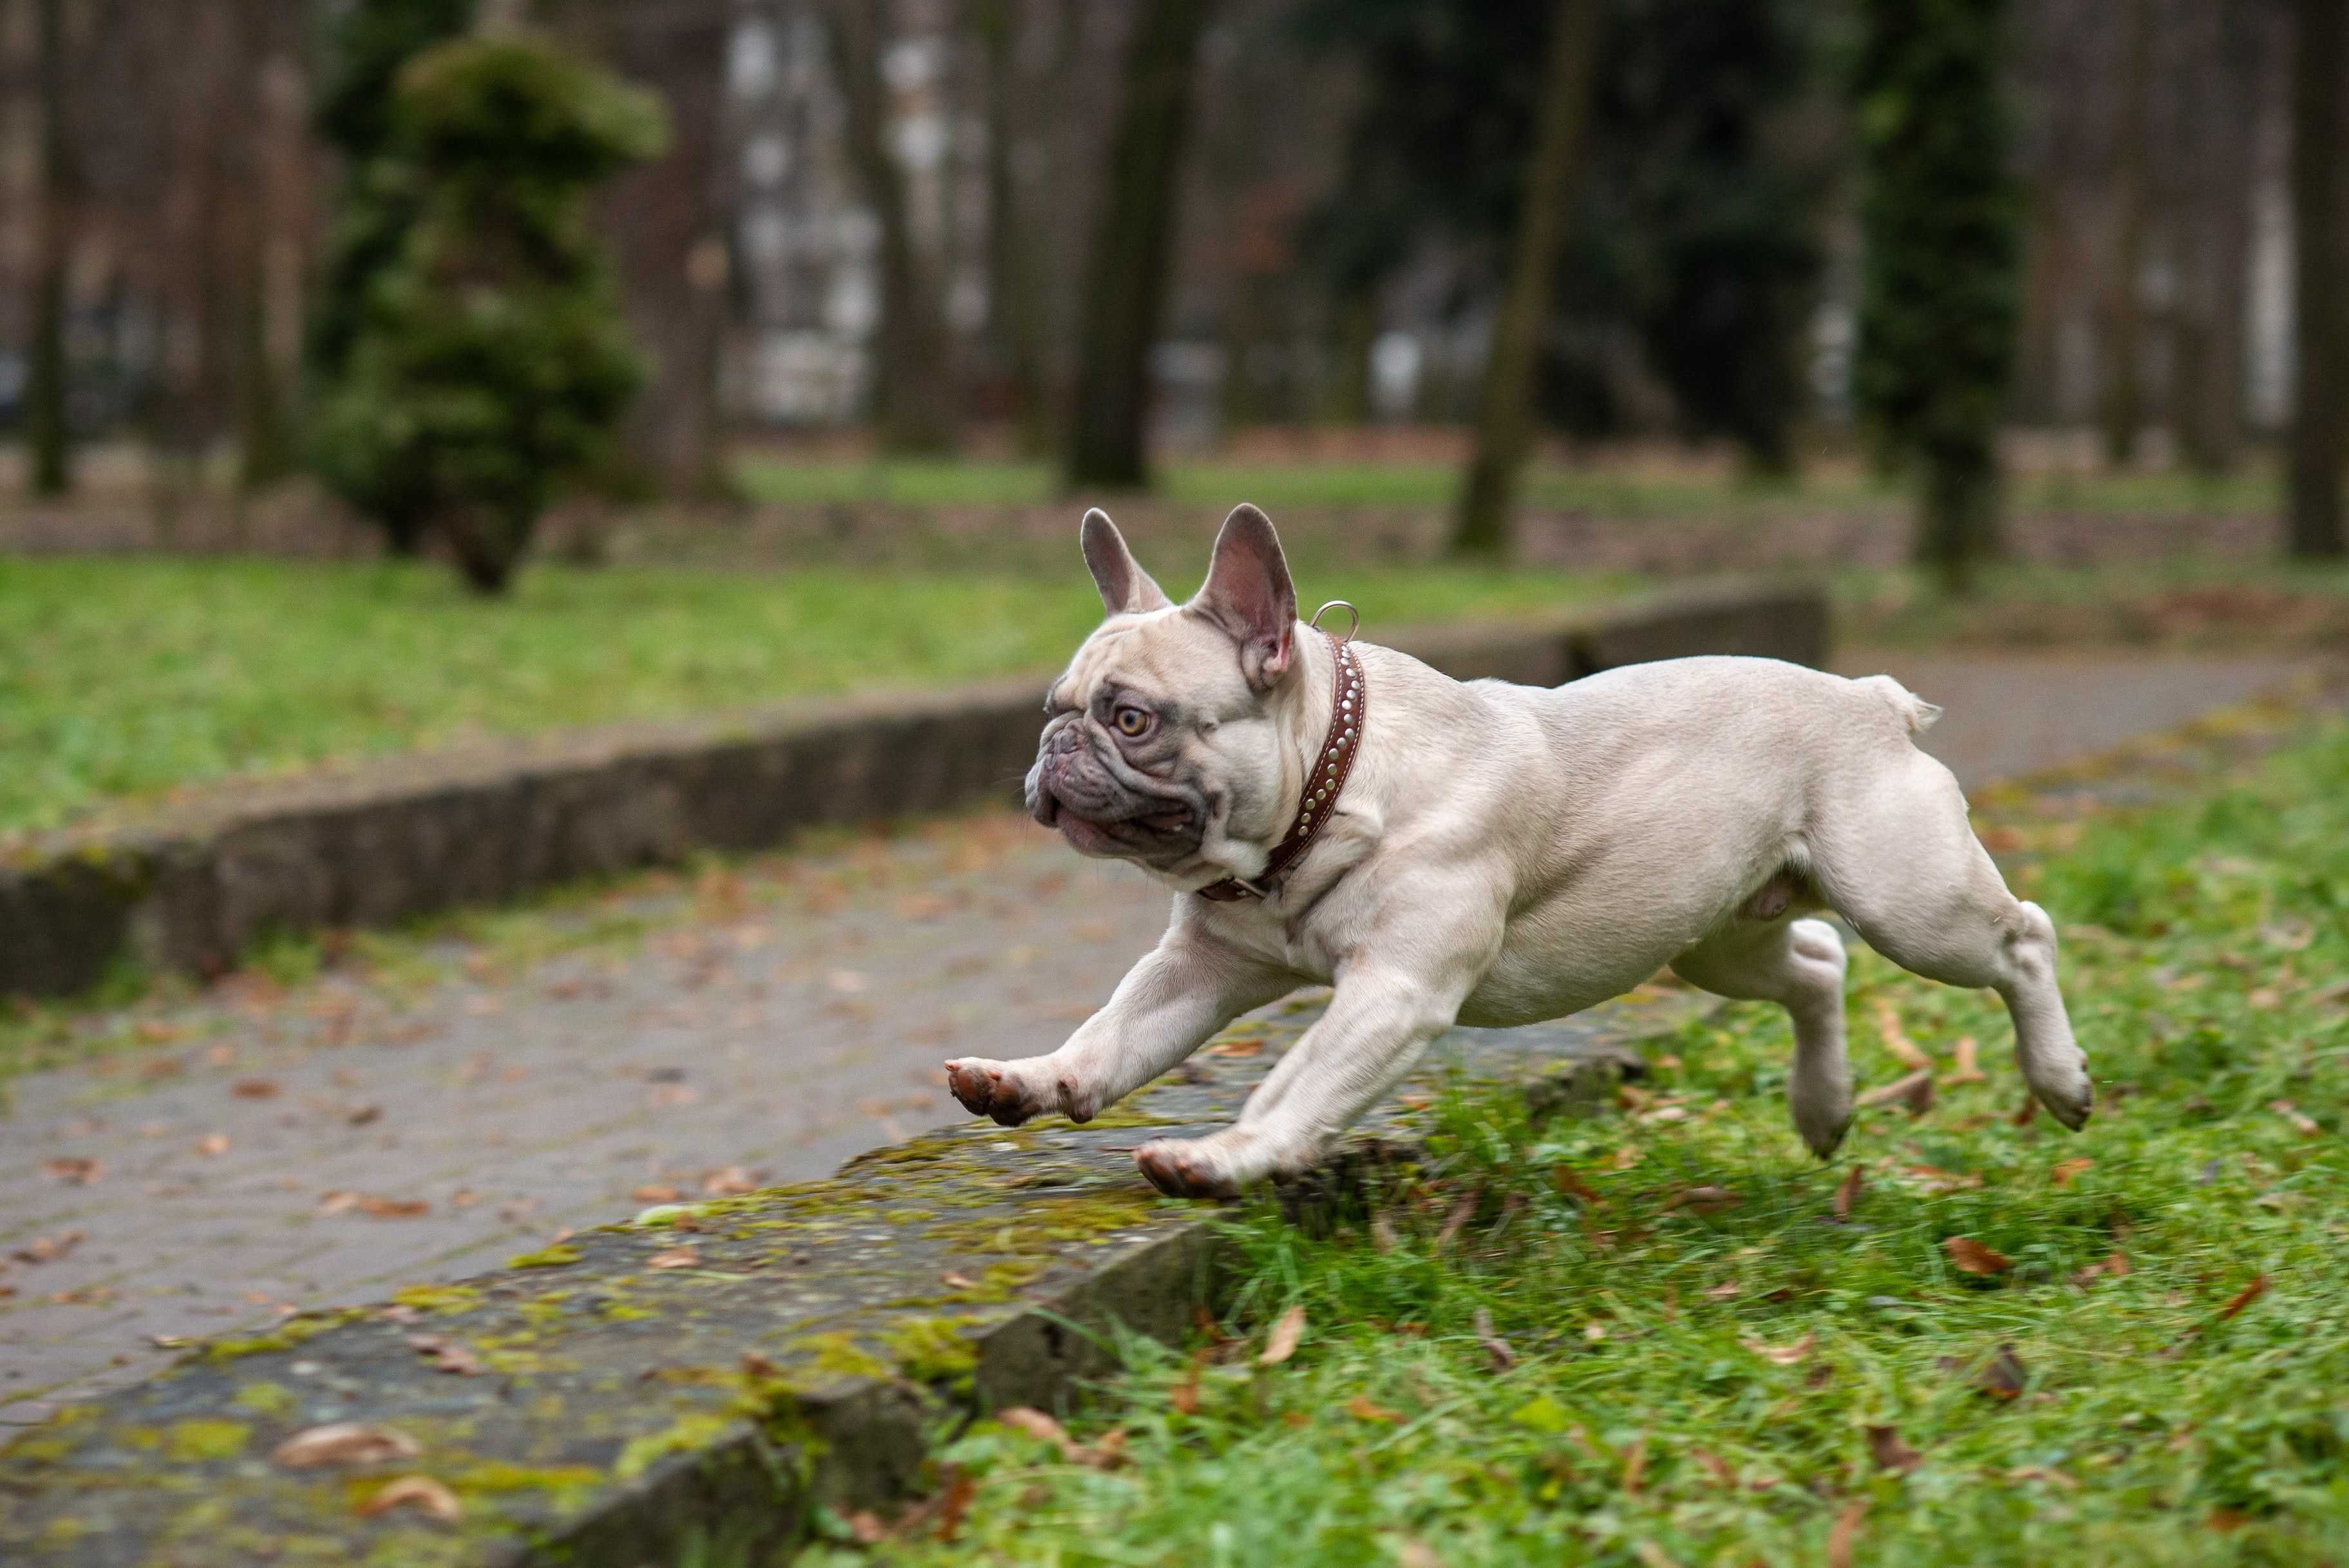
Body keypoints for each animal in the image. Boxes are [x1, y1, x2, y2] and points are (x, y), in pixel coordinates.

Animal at [944, 510, 2086, 1194]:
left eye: (1132, 719)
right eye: (1053, 708)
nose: (1056, 746)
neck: (1329, 792)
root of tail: (1867, 695)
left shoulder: (1393, 992)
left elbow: (1297, 1082)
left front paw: (1225, 1157)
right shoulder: (1200, 966)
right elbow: (1113, 1033)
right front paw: (1030, 1079)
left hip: (1911, 900)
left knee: (2023, 937)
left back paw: (2061, 1077)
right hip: (1708, 935)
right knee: (1816, 963)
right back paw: (1825, 1107)